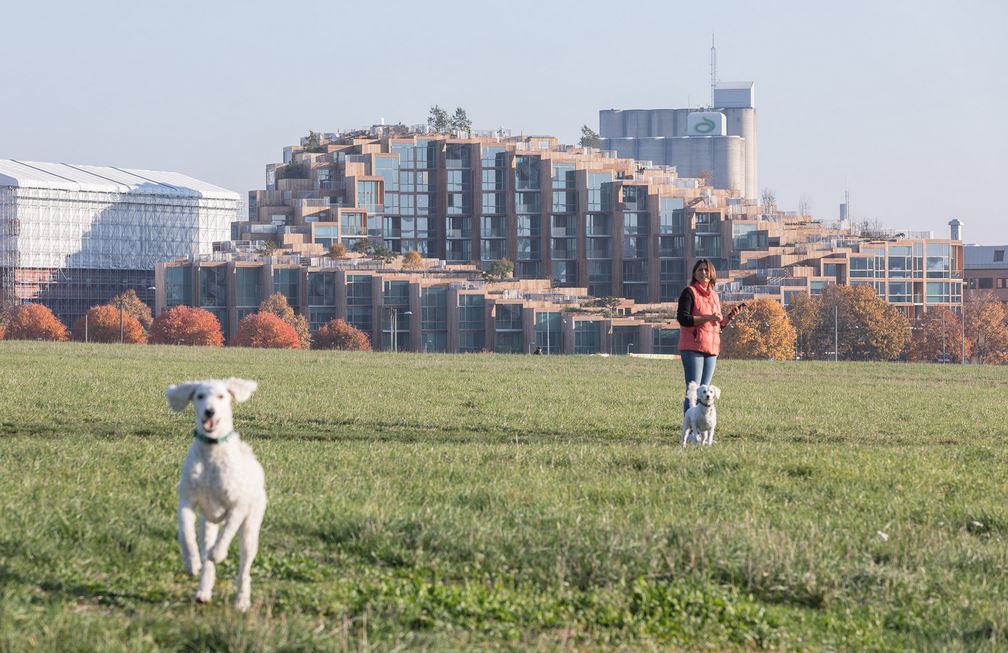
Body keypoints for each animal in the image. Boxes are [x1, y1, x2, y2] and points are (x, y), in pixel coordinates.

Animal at [164, 376, 264, 612]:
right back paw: (203, 591)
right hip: (208, 524)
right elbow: (185, 533)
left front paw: (218, 553)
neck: (212, 453)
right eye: (200, 396)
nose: (209, 412)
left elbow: (227, 533)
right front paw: (192, 563)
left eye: (221, 396)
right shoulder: (187, 501)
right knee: (207, 558)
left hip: (250, 528)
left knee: (244, 569)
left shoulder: (238, 506)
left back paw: (242, 600)